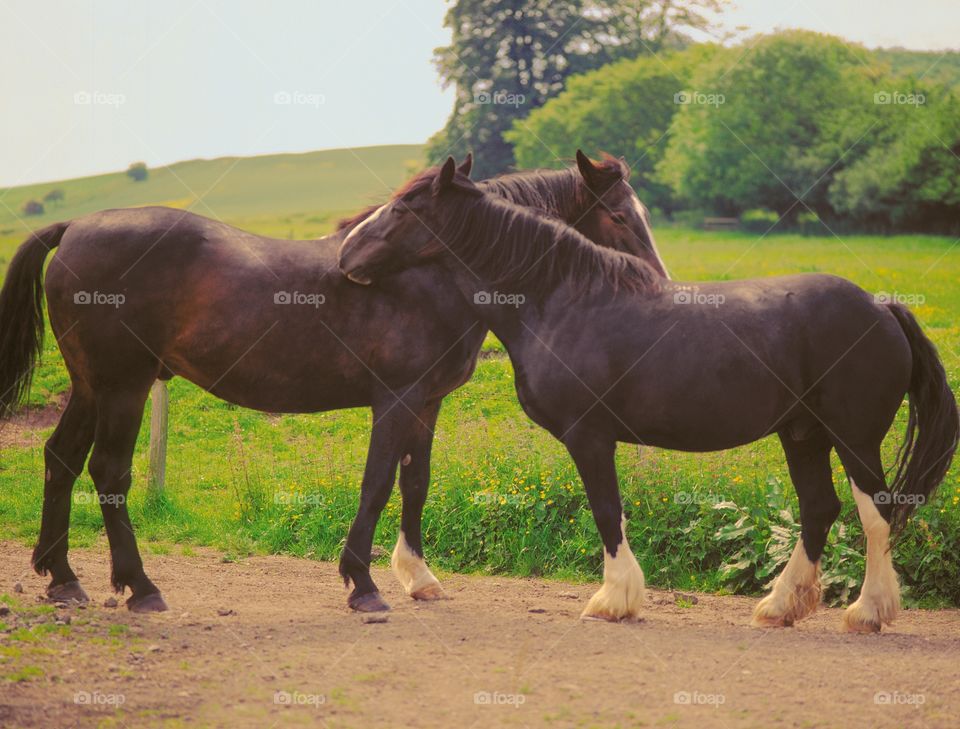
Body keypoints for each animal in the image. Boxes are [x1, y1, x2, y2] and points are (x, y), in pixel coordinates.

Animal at [0, 154, 668, 616]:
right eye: (617, 214)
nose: (657, 283)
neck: (427, 277)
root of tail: (76, 227)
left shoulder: (427, 403)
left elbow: (415, 484)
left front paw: (419, 578)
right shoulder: (395, 399)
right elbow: (376, 484)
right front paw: (363, 584)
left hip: (90, 387)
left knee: (60, 458)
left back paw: (63, 579)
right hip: (124, 386)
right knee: (109, 472)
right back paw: (140, 587)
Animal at [342, 159, 956, 632]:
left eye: (405, 207)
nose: (346, 253)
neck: (559, 298)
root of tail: (882, 307)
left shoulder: (590, 436)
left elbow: (607, 511)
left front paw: (614, 600)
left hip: (854, 438)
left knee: (877, 513)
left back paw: (868, 612)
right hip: (804, 434)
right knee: (819, 508)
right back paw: (780, 606)